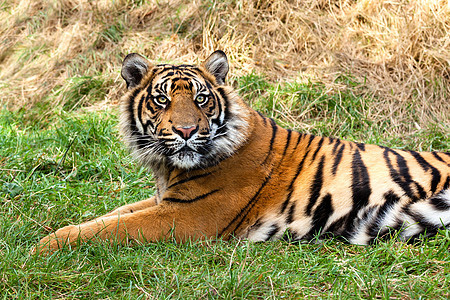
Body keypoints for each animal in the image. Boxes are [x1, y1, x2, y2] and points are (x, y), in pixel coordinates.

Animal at [36, 51, 450, 253]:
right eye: (162, 99)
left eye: (201, 99)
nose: (186, 131)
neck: (169, 169)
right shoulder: (165, 200)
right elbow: (111, 215)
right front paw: (48, 231)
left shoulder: (189, 214)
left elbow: (112, 227)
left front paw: (44, 246)